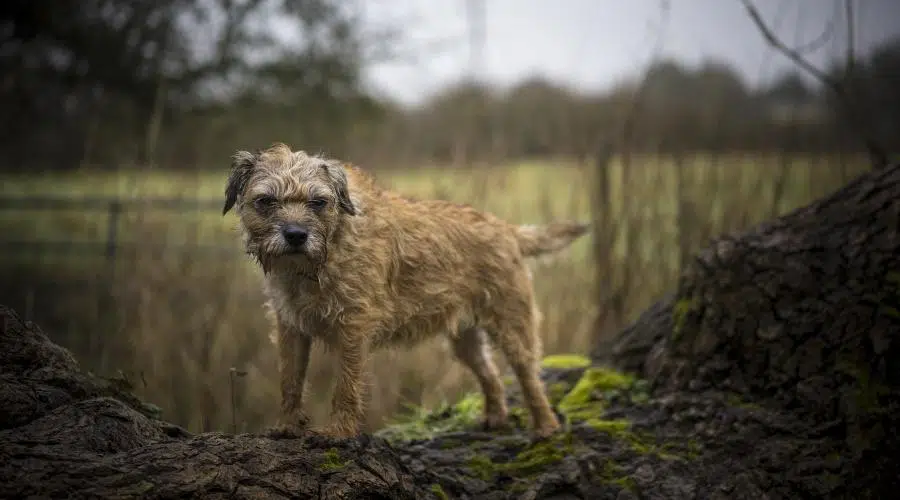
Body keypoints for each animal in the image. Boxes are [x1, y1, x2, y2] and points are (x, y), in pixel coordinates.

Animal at [221, 143, 592, 440]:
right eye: (266, 201)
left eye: (318, 202)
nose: (296, 234)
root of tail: (507, 230)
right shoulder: (291, 328)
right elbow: (290, 379)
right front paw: (286, 426)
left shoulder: (354, 328)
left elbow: (346, 387)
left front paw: (338, 433)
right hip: (466, 339)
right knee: (490, 374)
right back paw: (496, 416)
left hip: (512, 324)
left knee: (529, 376)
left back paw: (545, 426)